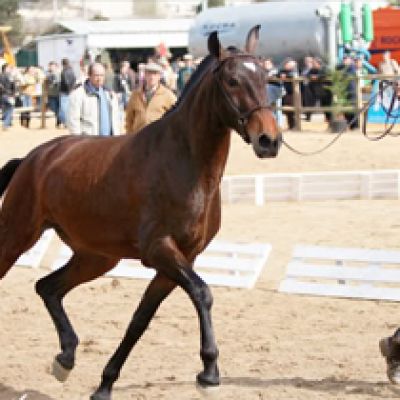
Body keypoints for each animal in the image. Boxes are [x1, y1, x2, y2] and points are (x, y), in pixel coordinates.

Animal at [0, 26, 282, 398]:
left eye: (266, 77)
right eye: (233, 80)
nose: (269, 140)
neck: (184, 162)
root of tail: (33, 158)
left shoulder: (180, 258)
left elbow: (140, 319)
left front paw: (105, 385)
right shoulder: (160, 249)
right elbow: (202, 293)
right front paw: (209, 373)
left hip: (97, 257)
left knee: (48, 287)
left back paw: (66, 358)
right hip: (15, 236)